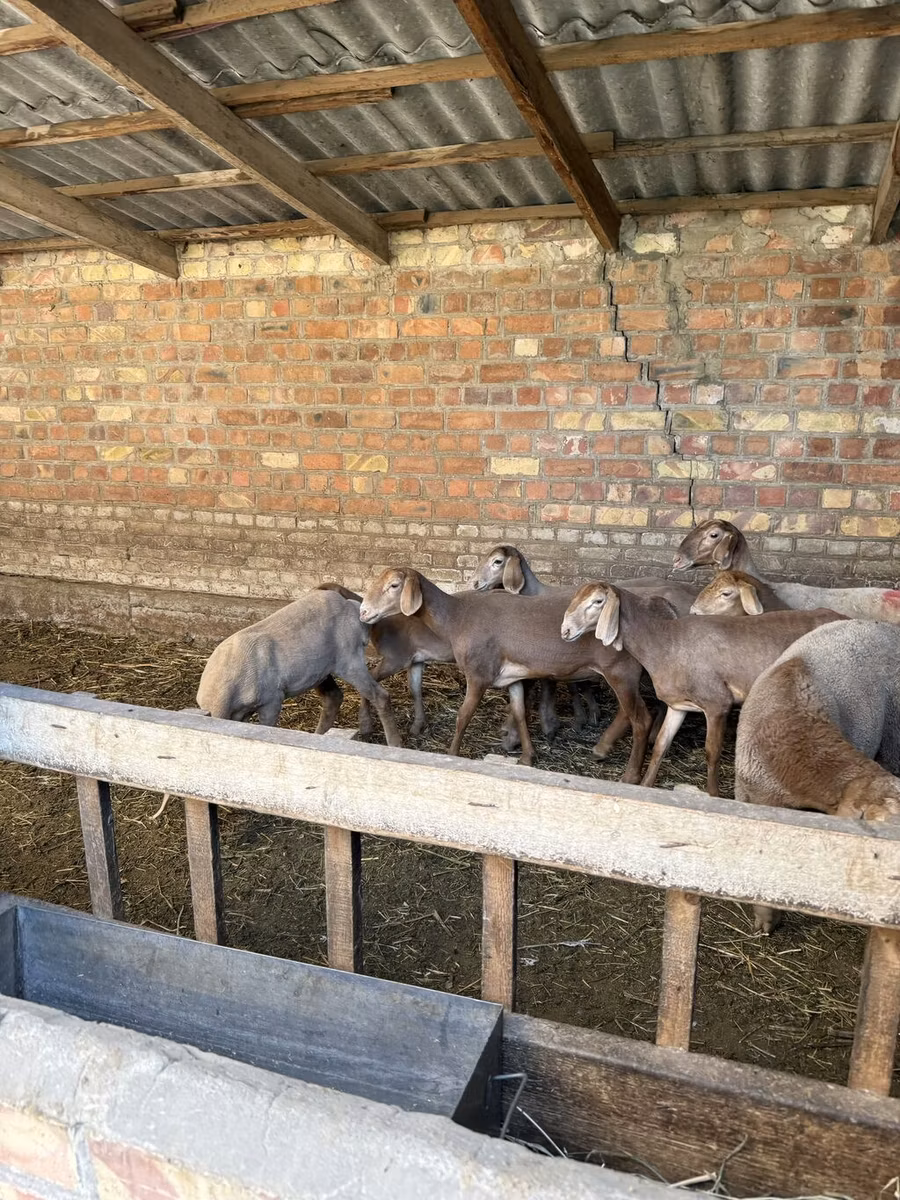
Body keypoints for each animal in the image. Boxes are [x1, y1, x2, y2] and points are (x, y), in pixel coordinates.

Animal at [196, 586, 402, 746]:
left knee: (380, 695)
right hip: (319, 669)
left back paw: (394, 744)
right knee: (334, 697)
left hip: (349, 660)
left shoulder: (272, 699)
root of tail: (353, 606)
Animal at [358, 567, 654, 780]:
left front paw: (452, 753)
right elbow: (520, 712)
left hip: (621, 672)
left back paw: (630, 775)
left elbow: (463, 716)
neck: (456, 618)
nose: (363, 612)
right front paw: (527, 756)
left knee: (641, 719)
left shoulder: (478, 674)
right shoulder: (513, 677)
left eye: (394, 585)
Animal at [560, 581, 844, 796]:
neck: (664, 642)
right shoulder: (678, 705)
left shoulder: (717, 704)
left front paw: (714, 794)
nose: (565, 631)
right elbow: (661, 745)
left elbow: (712, 752)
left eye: (598, 601)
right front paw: (646, 785)